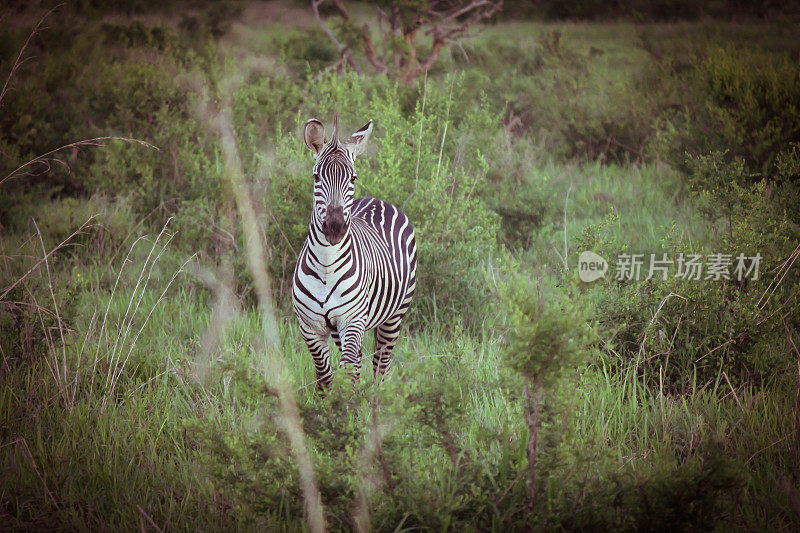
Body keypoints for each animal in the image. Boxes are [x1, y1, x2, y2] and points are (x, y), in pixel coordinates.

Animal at [294, 116, 418, 388]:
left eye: (353, 178)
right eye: (316, 177)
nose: (335, 226)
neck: (326, 266)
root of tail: (377, 200)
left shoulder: (352, 320)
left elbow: (348, 374)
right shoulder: (310, 328)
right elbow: (326, 378)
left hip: (395, 315)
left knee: (381, 364)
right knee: (361, 360)